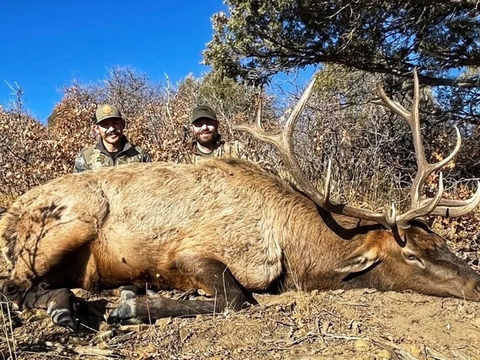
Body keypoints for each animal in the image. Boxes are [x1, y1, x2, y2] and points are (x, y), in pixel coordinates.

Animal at [0, 70, 480, 330]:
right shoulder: (193, 252)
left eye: (443, 243)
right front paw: (131, 306)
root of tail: (9, 213)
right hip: (69, 223)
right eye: (412, 254)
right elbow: (235, 298)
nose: (476, 283)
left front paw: (131, 299)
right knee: (15, 287)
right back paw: (67, 308)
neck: (293, 250)